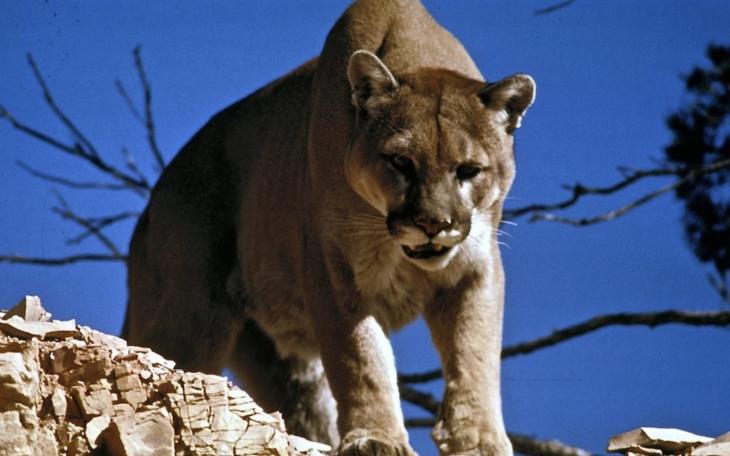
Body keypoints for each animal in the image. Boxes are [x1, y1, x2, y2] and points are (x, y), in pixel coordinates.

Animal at [124, 0, 535, 454]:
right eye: (401, 162)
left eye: (469, 170)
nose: (433, 224)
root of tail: (151, 204)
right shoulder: (333, 268)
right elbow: (361, 357)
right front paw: (375, 437)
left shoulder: (476, 267)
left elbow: (475, 354)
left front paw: (478, 439)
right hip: (193, 316)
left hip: (281, 363)